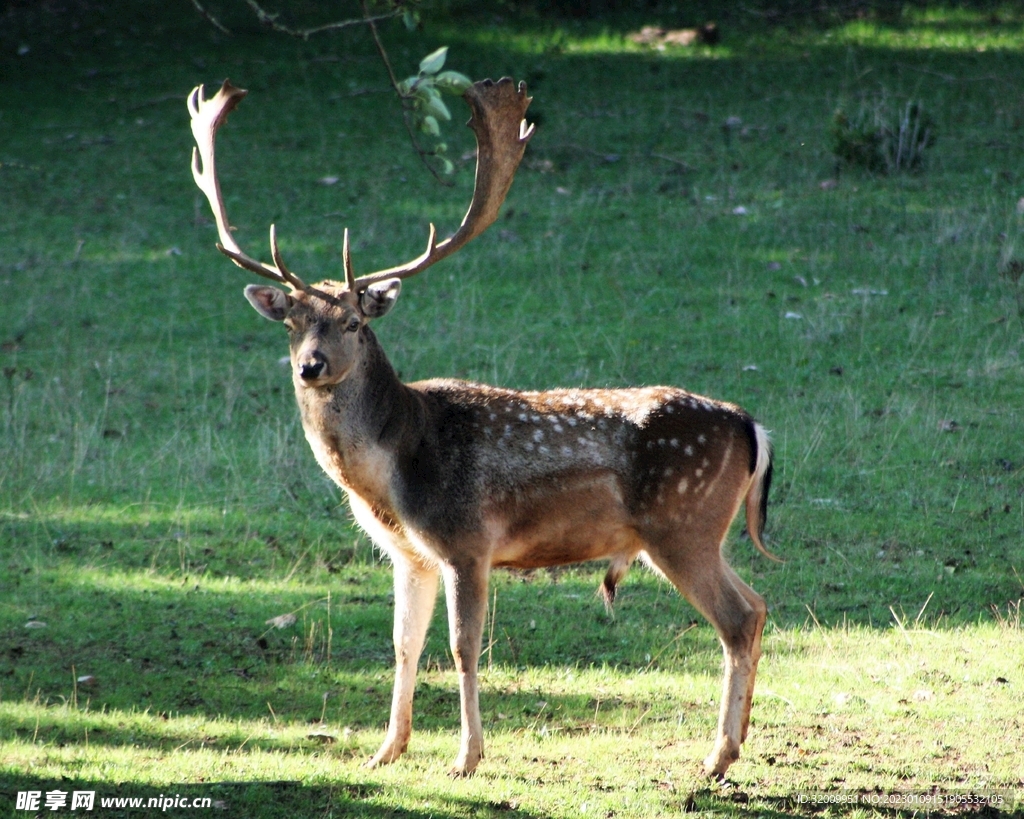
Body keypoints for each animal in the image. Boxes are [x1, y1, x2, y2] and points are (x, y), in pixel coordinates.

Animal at [188, 77, 776, 780]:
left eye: (355, 321)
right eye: (292, 323)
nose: (311, 366)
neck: (392, 473)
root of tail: (751, 425)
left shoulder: (466, 540)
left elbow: (463, 646)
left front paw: (466, 757)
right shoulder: (409, 553)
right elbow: (403, 645)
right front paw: (386, 751)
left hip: (680, 525)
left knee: (737, 618)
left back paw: (717, 758)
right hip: (702, 533)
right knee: (759, 605)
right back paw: (735, 742)